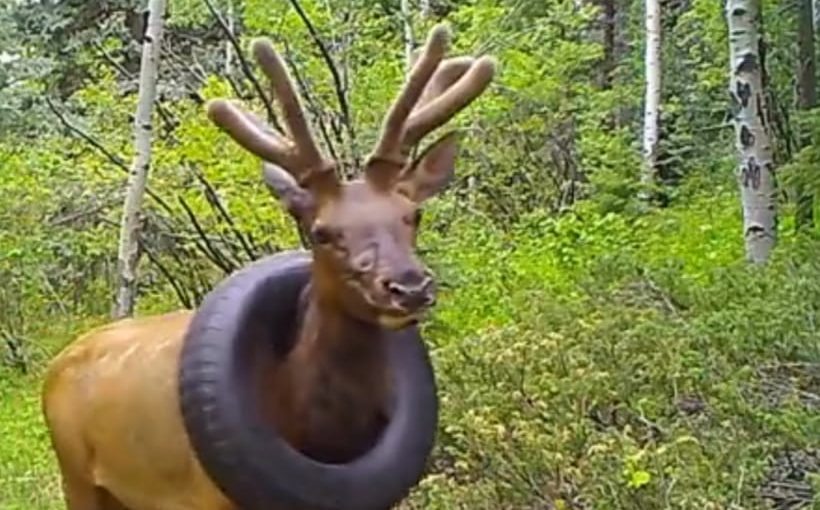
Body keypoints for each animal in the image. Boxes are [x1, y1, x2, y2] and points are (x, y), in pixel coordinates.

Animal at [41, 23, 495, 510]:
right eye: (321, 232)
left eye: (413, 214)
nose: (409, 287)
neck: (312, 428)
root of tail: (56, 366)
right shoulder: (206, 496)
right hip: (77, 476)